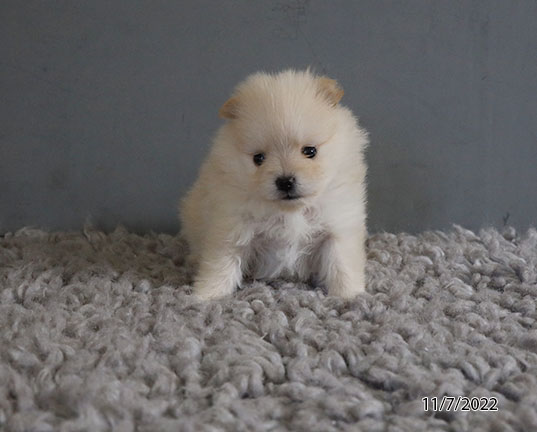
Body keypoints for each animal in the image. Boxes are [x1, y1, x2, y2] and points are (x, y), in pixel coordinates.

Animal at [180, 71, 368, 300]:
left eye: (310, 151)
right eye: (258, 158)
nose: (285, 181)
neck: (289, 211)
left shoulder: (337, 228)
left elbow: (342, 265)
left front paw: (351, 296)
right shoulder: (231, 228)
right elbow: (220, 265)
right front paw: (206, 296)